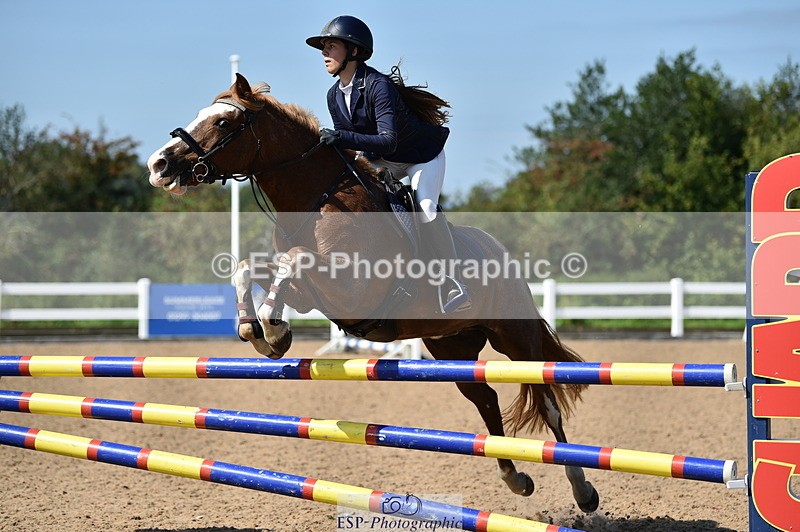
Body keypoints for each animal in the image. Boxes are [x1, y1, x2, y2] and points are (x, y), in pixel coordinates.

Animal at [146, 73, 599, 513]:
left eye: (224, 122)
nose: (159, 165)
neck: (315, 198)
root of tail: (501, 251)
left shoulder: (352, 287)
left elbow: (293, 260)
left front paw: (273, 329)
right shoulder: (314, 295)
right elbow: (250, 268)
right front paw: (257, 331)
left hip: (515, 338)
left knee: (547, 400)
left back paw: (582, 490)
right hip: (451, 346)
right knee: (484, 397)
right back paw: (514, 477)